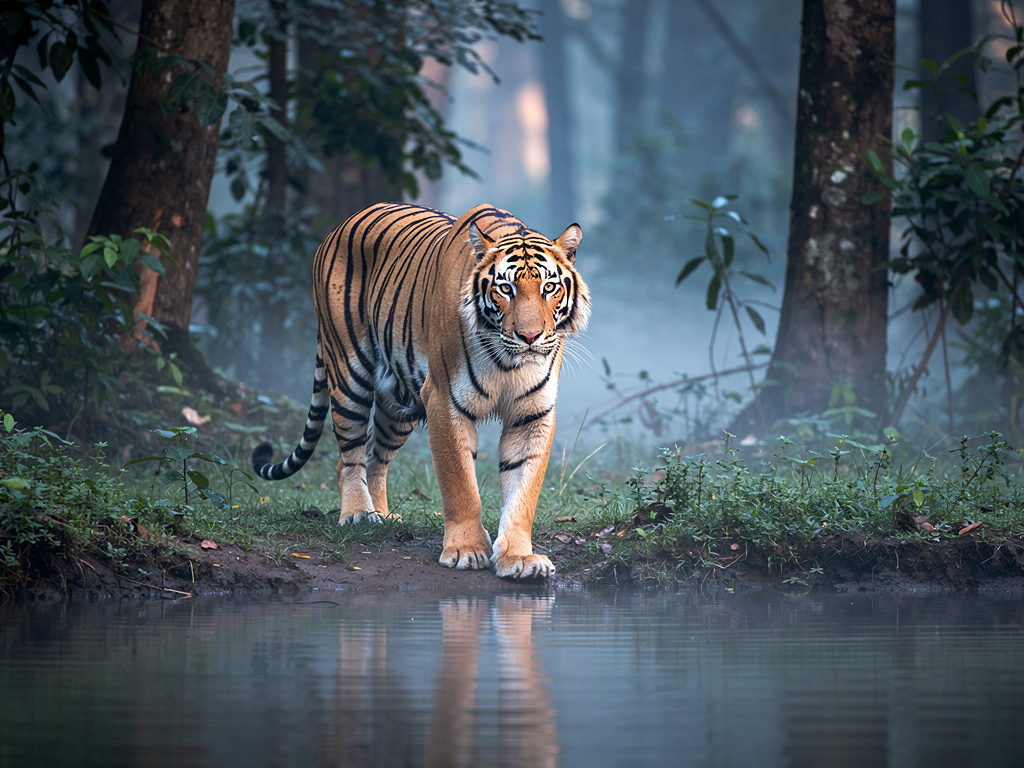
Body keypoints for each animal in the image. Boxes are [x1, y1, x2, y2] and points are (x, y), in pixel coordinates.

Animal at [251, 202, 590, 580]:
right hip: (348, 371)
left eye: (549, 287)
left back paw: (381, 516)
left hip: (398, 407)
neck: (507, 363)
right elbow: (460, 484)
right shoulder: (445, 402)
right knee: (350, 455)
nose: (529, 337)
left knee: (374, 456)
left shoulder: (532, 413)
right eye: (505, 289)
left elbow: (523, 490)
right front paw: (466, 550)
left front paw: (519, 557)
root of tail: (340, 225)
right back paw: (357, 514)